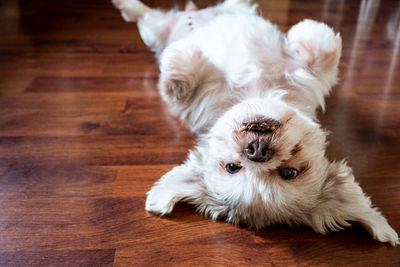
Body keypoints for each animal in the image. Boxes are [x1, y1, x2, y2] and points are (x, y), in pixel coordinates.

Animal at [114, 0, 398, 247]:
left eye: (288, 173)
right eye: (232, 167)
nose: (258, 151)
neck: (258, 92)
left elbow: (322, 50)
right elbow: (177, 80)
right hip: (158, 29)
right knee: (144, 15)